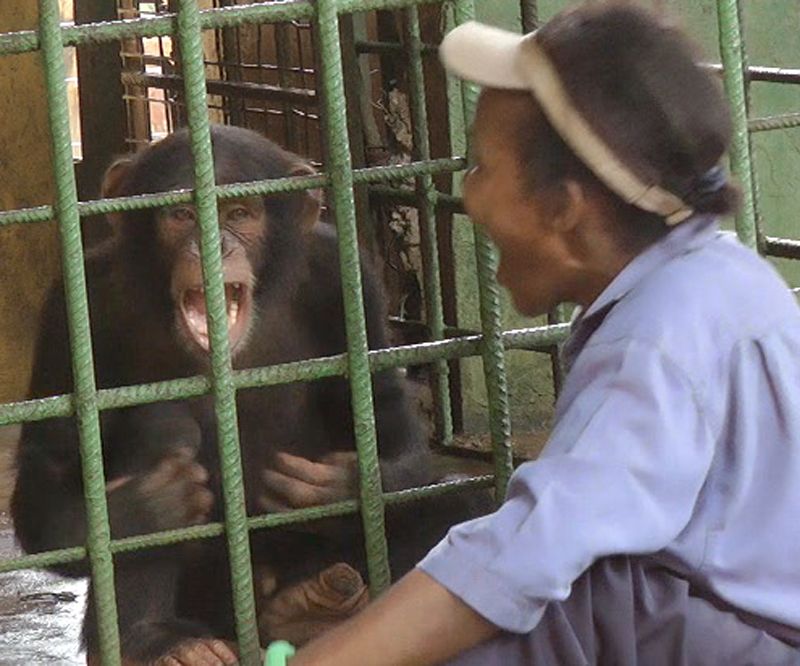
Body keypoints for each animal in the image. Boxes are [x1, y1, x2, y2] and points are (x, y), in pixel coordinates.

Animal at [12, 126, 484, 664]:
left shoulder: (342, 276)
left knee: (450, 505)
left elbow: (386, 409)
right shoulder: (79, 306)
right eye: (181, 214)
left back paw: (318, 611)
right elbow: (51, 463)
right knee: (162, 430)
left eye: (239, 213)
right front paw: (148, 506)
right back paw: (165, 641)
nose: (211, 246)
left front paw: (339, 485)